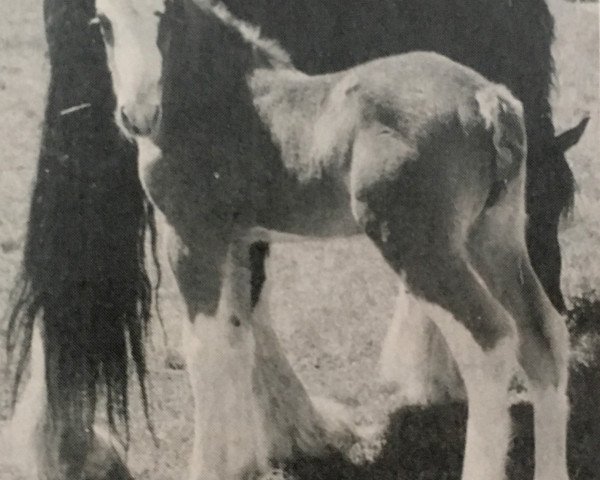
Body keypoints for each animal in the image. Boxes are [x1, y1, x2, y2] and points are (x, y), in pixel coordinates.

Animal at [3, 0, 584, 478]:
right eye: (102, 24)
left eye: (162, 16)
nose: (138, 116)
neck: (220, 96)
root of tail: (487, 99)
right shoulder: (238, 241)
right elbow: (236, 338)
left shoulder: (192, 236)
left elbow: (204, 349)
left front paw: (212, 465)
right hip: (494, 237)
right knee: (542, 334)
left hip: (421, 248)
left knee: (491, 341)